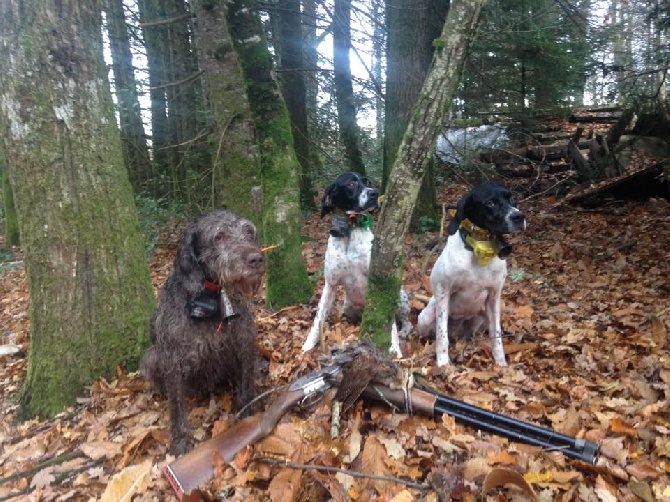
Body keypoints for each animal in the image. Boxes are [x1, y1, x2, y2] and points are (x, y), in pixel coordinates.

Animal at [141, 209, 266, 454]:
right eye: (219, 237)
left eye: (249, 232)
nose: (256, 259)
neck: (210, 298)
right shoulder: (172, 359)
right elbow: (176, 405)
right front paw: (180, 440)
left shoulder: (245, 342)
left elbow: (246, 383)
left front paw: (248, 413)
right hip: (151, 357)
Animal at [302, 173, 412, 356]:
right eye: (351, 184)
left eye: (368, 182)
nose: (374, 193)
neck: (349, 231)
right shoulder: (330, 284)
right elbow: (318, 318)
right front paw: (308, 344)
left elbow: (389, 324)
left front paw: (395, 349)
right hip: (347, 306)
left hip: (400, 296)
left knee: (406, 322)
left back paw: (403, 332)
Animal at [418, 182, 528, 366]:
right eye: (490, 203)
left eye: (512, 198)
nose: (519, 216)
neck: (480, 250)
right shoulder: (444, 292)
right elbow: (442, 337)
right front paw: (443, 364)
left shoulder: (494, 296)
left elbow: (496, 336)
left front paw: (501, 364)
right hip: (425, 317)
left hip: (482, 316)